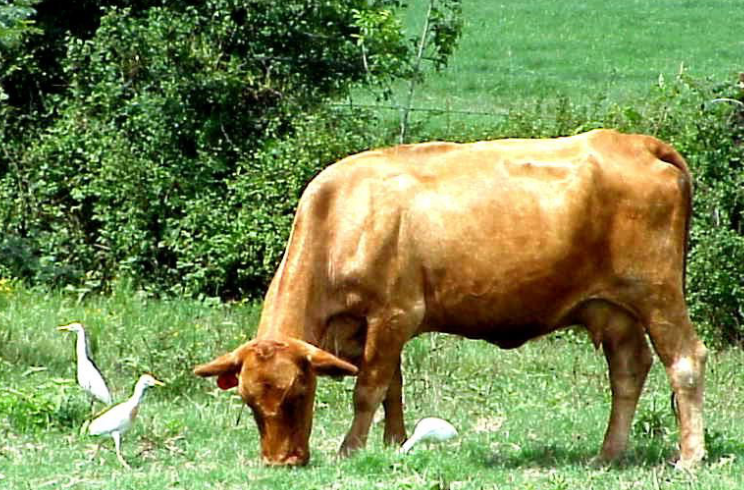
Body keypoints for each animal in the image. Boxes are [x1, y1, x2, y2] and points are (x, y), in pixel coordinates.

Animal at [194, 129, 706, 468]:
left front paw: (351, 448)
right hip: (613, 309)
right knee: (628, 370)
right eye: (249, 401)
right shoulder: (372, 325)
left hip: (657, 293)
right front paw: (393, 441)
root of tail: (636, 142)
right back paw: (607, 454)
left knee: (684, 361)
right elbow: (392, 386)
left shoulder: (395, 314)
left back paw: (690, 456)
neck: (343, 214)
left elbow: (369, 388)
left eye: (300, 392)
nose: (281, 461)